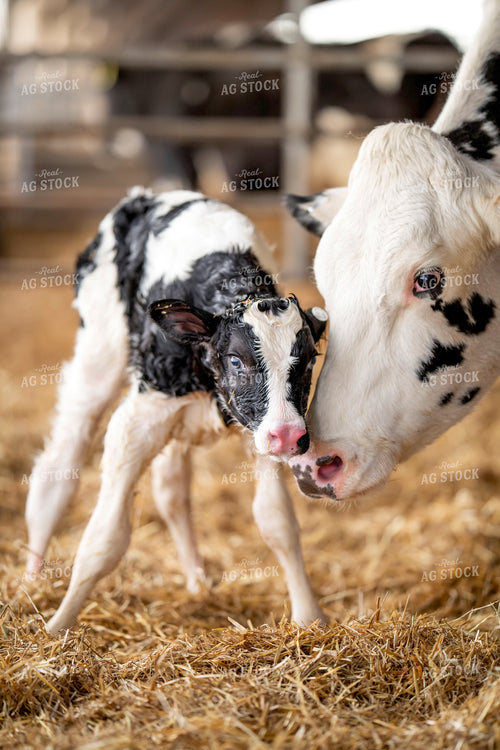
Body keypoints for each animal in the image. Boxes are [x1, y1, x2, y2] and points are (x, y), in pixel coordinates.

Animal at [24, 189, 329, 633]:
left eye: (308, 361)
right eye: (236, 360)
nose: (289, 434)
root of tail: (145, 196)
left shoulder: (257, 430)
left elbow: (278, 523)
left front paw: (309, 617)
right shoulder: (136, 423)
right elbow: (104, 540)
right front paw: (58, 627)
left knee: (171, 489)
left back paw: (197, 581)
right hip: (98, 356)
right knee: (57, 469)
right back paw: (31, 580)